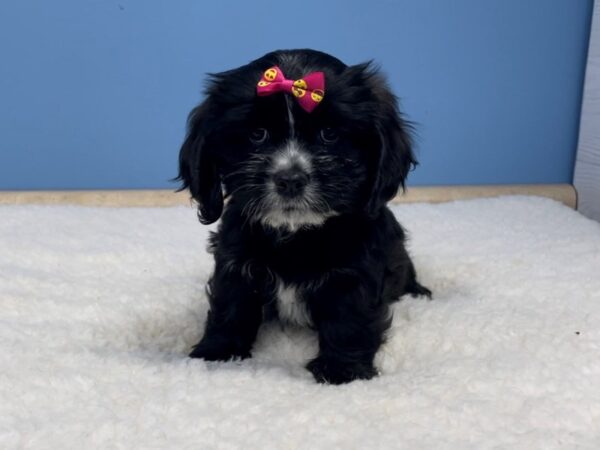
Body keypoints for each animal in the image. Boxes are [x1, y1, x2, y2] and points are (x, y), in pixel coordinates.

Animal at [176, 50, 428, 386]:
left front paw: (341, 371)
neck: (296, 233)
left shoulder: (357, 269)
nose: (290, 179)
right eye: (257, 135)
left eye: (329, 134)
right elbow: (231, 305)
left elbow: (349, 318)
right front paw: (215, 353)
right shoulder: (234, 259)